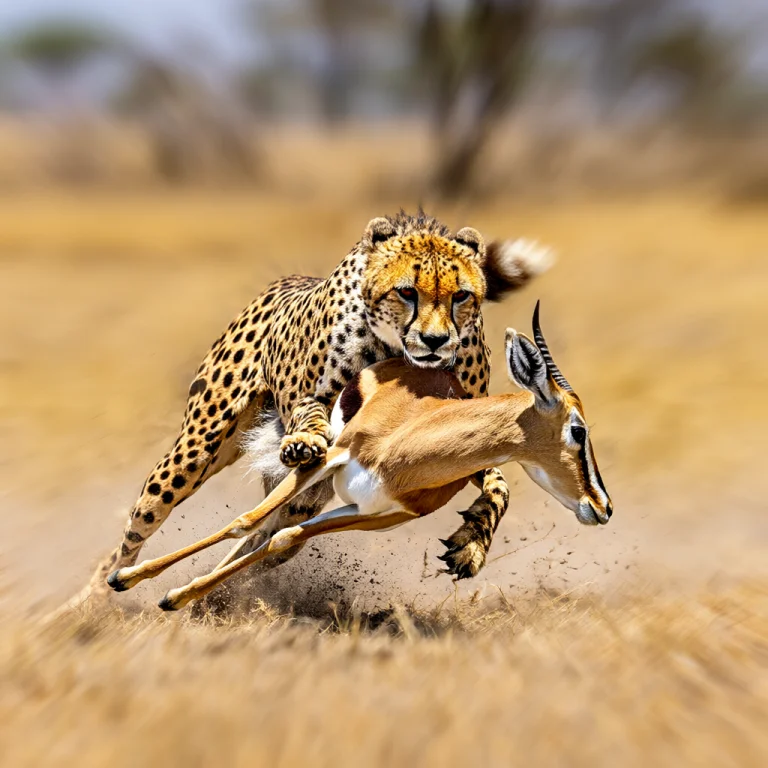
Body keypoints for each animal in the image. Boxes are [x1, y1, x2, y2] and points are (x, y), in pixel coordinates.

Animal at [71, 210, 553, 611]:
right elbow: (312, 416)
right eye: (407, 292)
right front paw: (304, 440)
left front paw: (471, 544)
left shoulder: (457, 439)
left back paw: (209, 593)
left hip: (303, 504)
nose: (435, 341)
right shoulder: (320, 406)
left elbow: (498, 488)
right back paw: (93, 602)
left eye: (461, 296)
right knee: (137, 531)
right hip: (192, 454)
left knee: (267, 541)